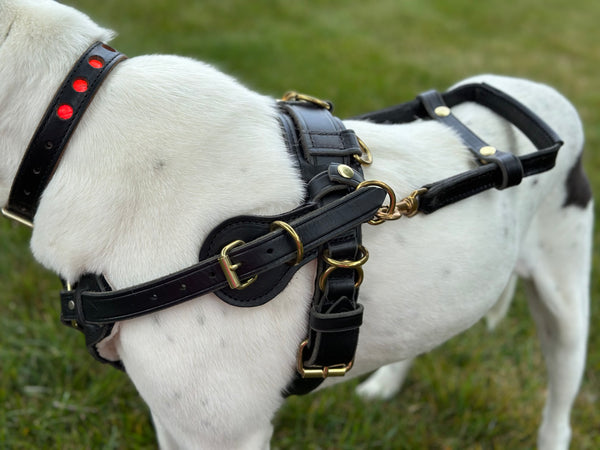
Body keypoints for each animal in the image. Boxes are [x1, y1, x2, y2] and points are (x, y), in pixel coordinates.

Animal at [0, 1, 592, 448]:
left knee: (560, 397)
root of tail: (541, 92)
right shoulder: (175, 421)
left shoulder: (222, 433)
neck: (71, 127)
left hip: (565, 308)